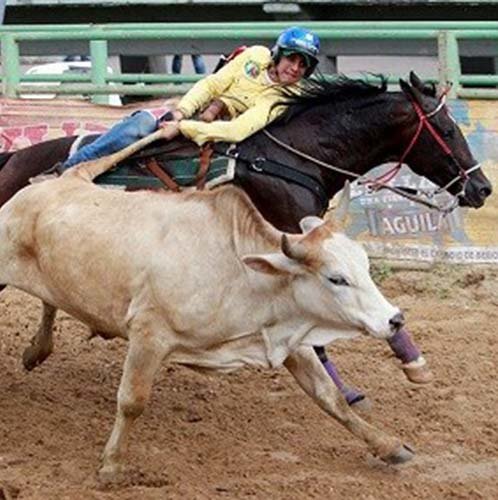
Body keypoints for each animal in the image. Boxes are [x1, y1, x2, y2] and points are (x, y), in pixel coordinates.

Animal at [0, 73, 490, 406]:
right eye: (447, 130)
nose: (482, 188)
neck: (289, 159)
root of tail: (15, 158)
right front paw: (377, 378)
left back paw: (38, 350)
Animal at [0, 133, 412, 480]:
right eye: (336, 278)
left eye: (365, 264)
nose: (394, 319)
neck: (238, 270)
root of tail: (63, 179)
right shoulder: (149, 335)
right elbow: (132, 400)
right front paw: (112, 465)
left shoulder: (287, 339)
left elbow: (330, 397)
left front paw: (390, 446)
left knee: (50, 300)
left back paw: (37, 349)